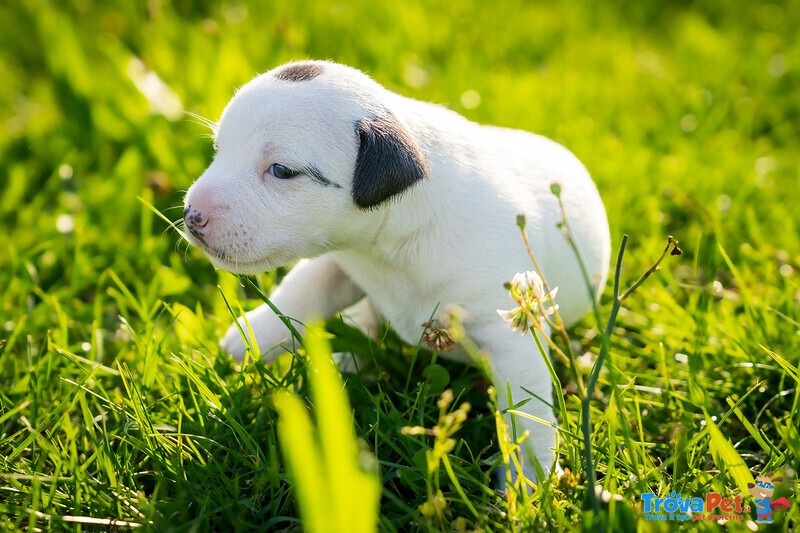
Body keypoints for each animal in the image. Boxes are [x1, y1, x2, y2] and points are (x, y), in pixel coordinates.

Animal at [181, 60, 608, 480]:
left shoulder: (511, 330)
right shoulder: (340, 261)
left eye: (282, 171)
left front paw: (529, 476)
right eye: (218, 149)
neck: (388, 248)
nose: (191, 216)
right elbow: (304, 288)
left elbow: (526, 407)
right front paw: (249, 336)